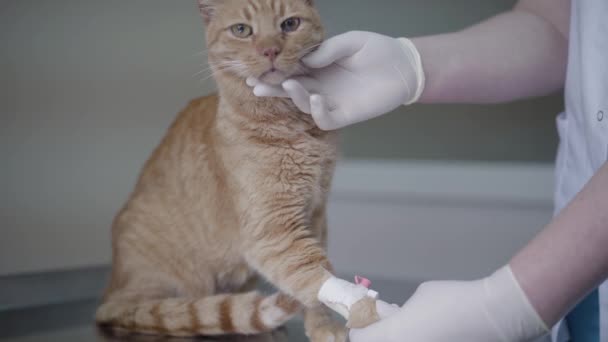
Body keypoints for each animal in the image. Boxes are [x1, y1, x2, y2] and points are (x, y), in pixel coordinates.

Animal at [97, 1, 346, 340]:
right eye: (242, 30)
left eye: (290, 24)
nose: (270, 49)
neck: (290, 121)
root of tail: (110, 293)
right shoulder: (272, 230)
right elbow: (314, 278)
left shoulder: (316, 213)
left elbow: (313, 278)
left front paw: (323, 324)